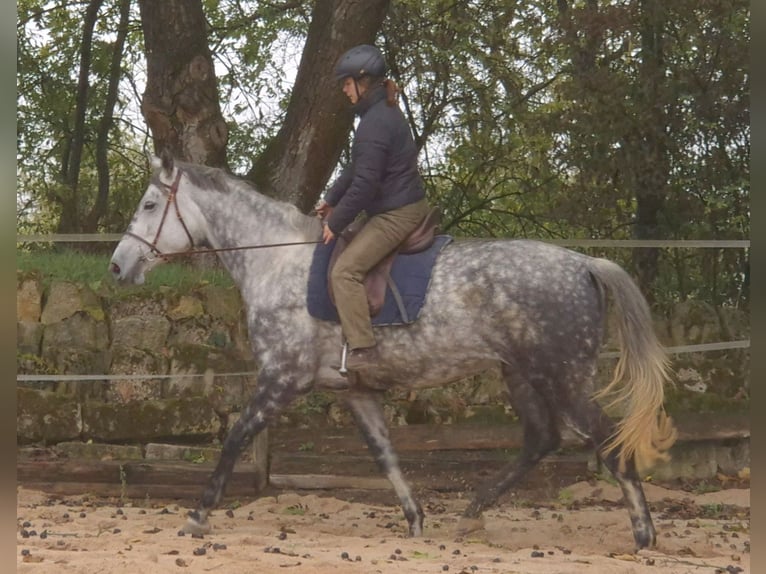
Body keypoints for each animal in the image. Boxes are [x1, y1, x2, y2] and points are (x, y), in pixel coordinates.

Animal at [109, 152, 676, 550]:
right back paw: (471, 514)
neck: (278, 262)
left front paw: (198, 515)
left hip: (564, 376)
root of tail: (584, 264)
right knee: (541, 440)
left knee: (608, 443)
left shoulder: (281, 379)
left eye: (150, 205)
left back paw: (643, 537)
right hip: (521, 374)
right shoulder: (355, 392)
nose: (117, 266)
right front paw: (415, 520)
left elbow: (235, 439)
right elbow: (386, 455)